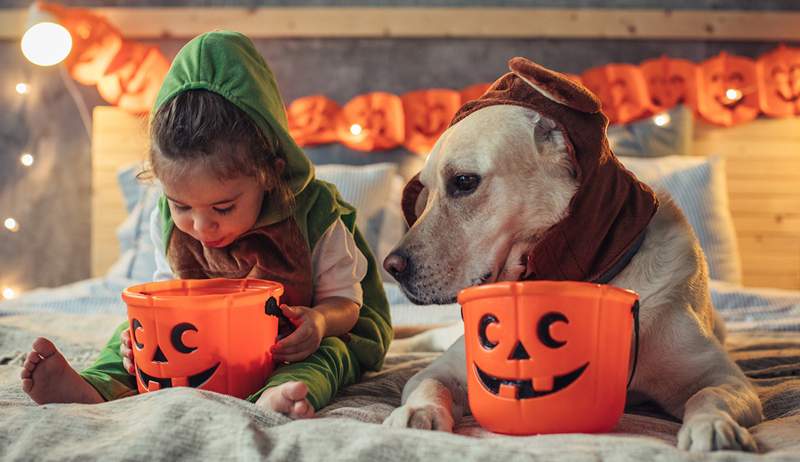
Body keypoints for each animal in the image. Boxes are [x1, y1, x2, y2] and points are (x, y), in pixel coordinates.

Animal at [382, 57, 764, 452]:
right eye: (424, 193)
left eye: (463, 182)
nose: (391, 267)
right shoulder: (445, 369)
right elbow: (428, 384)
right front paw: (418, 413)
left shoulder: (728, 378)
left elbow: (708, 396)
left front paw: (715, 426)